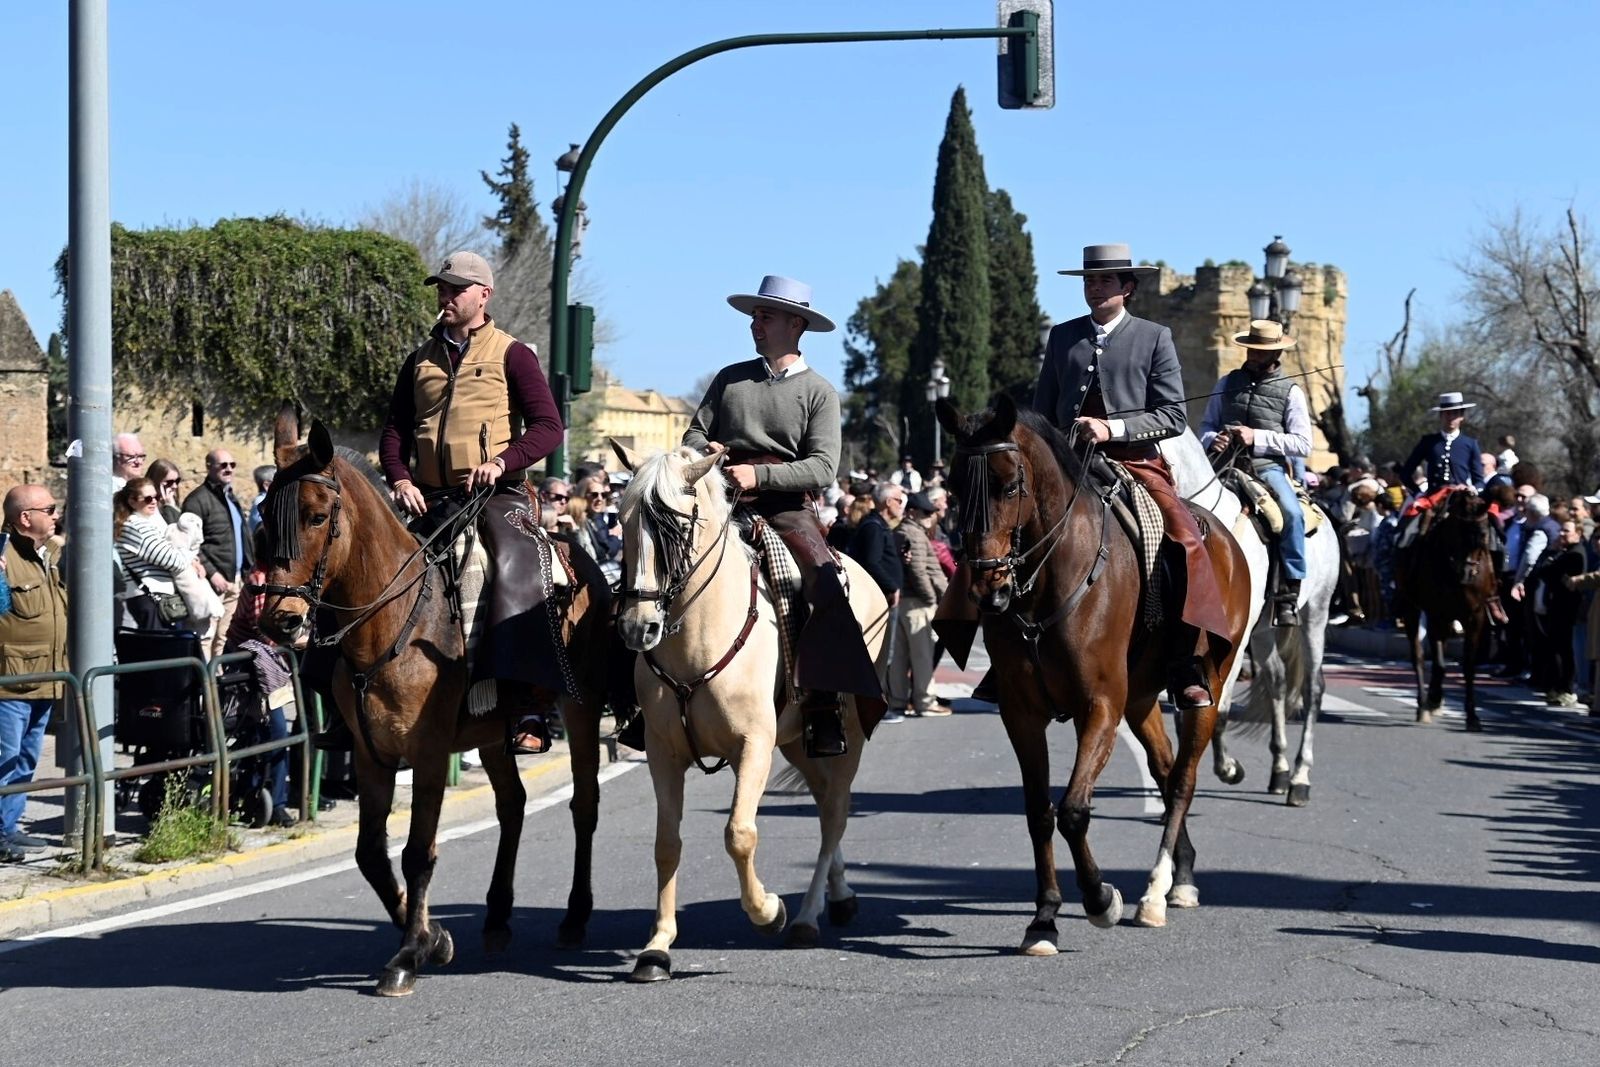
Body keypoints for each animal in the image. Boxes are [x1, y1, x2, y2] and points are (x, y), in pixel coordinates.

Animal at [255, 414, 612, 997]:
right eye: (263, 520)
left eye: (316, 516)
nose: (282, 621)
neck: (391, 622)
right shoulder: (372, 756)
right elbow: (371, 855)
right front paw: (432, 937)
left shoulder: (426, 755)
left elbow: (417, 853)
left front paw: (408, 954)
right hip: (490, 734)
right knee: (512, 806)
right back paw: (496, 917)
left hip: (580, 713)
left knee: (584, 806)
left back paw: (575, 916)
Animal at [609, 442, 889, 981]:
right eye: (623, 524)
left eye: (677, 528)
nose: (637, 628)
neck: (697, 634)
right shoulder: (662, 752)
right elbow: (666, 844)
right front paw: (657, 946)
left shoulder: (753, 746)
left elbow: (739, 833)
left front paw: (767, 912)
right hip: (799, 741)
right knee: (824, 804)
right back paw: (840, 894)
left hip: (845, 738)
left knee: (835, 814)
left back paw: (805, 918)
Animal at [936, 396, 1253, 950]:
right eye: (952, 488)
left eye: (1010, 486)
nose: (986, 590)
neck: (1046, 581)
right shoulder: (1022, 714)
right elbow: (1039, 812)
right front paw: (1044, 916)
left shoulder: (1099, 706)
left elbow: (1073, 810)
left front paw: (1100, 898)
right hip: (1142, 699)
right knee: (1165, 773)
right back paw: (1181, 876)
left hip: (1209, 686)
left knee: (1184, 779)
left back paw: (1156, 892)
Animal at [1163, 430, 1340, 806]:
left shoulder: (1235, 636)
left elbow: (1219, 707)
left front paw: (1228, 768)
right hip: (1263, 631)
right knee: (1277, 680)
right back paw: (1280, 771)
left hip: (1316, 612)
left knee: (1313, 688)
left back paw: (1300, 778)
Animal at [1395, 489, 1494, 732]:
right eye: (1459, 533)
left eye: (1484, 536)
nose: (1467, 575)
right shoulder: (1435, 613)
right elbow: (1439, 662)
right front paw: (1432, 700)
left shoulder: (1474, 616)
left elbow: (1469, 665)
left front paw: (1472, 716)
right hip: (1411, 609)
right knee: (1418, 656)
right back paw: (1424, 705)